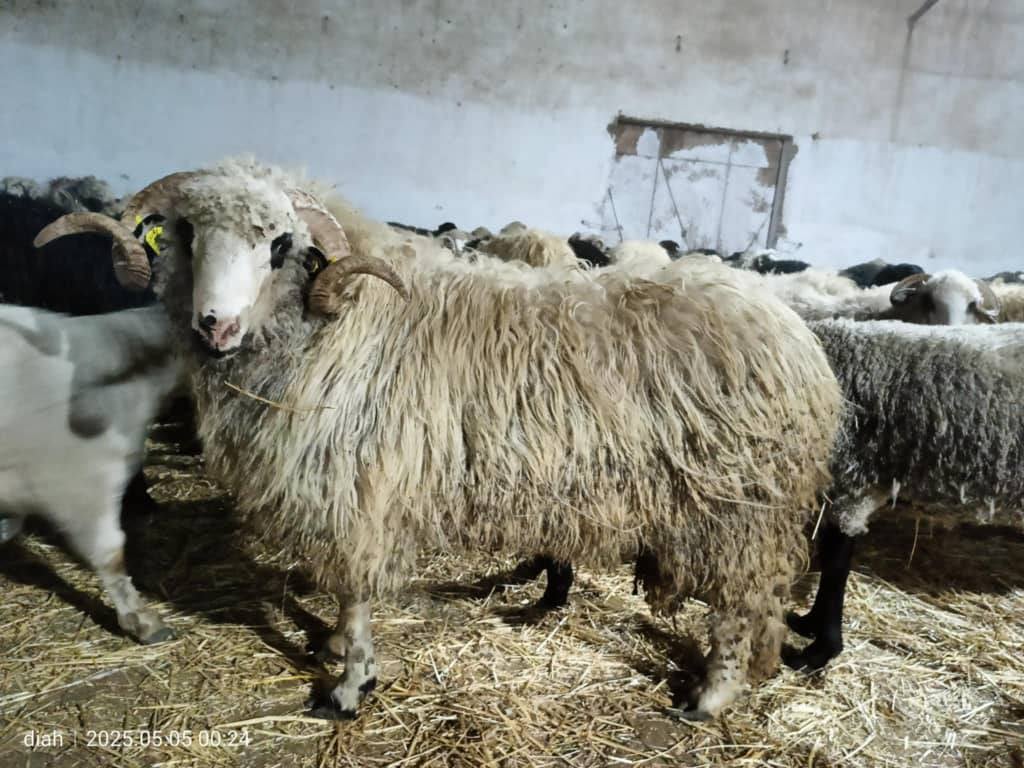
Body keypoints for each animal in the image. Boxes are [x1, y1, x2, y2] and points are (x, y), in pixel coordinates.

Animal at [39, 158, 843, 721]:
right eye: (186, 234)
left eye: (279, 245)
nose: (216, 325)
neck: (343, 322)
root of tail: (797, 342)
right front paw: (333, 647)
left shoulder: (361, 490)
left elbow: (354, 590)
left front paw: (348, 683)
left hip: (738, 513)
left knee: (739, 608)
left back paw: (708, 699)